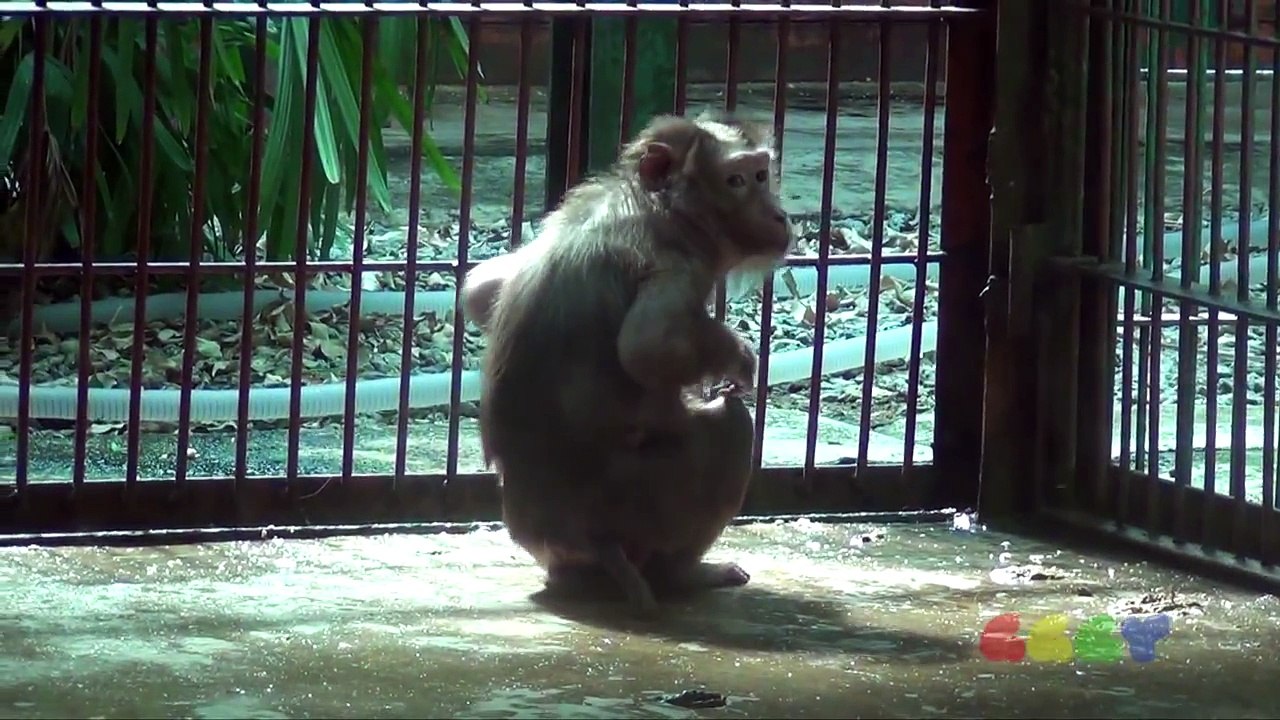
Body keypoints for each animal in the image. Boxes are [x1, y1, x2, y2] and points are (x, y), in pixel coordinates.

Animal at [466, 112, 795, 616]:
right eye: (737, 180)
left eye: (762, 174)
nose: (778, 214)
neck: (661, 205)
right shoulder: (674, 262)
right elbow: (647, 347)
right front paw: (738, 356)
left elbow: (482, 289)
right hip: (640, 507)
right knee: (731, 426)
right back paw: (682, 574)